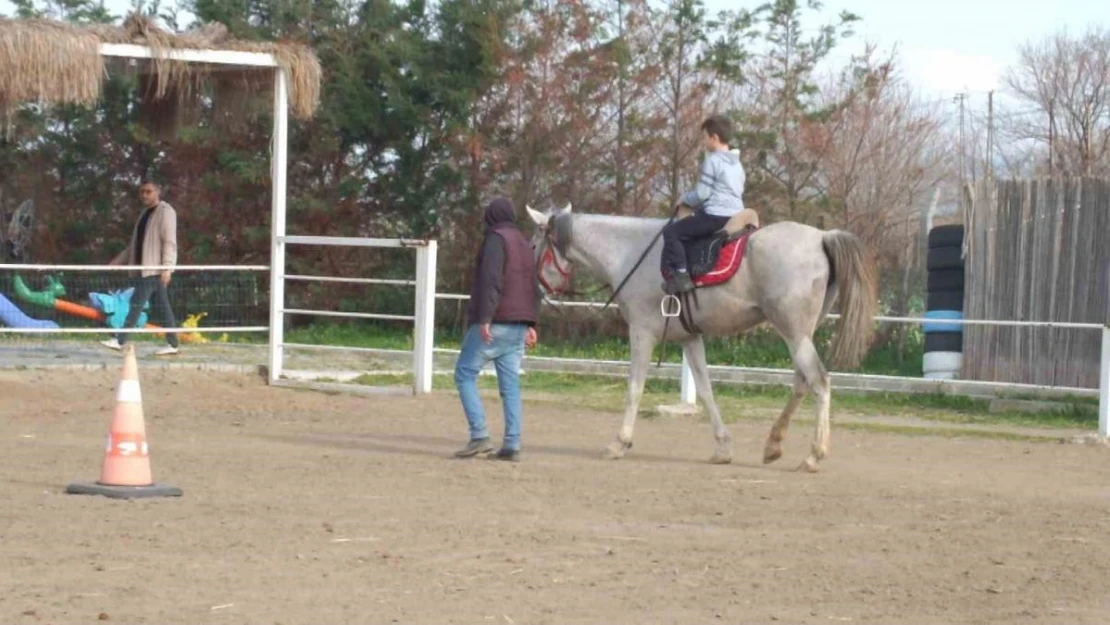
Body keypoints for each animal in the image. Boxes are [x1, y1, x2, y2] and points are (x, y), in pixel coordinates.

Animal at [523, 205, 879, 475]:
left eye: (533, 245)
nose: (537, 290)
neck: (629, 251)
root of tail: (822, 237)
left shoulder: (642, 332)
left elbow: (635, 388)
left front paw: (619, 443)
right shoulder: (689, 338)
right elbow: (706, 390)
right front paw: (722, 448)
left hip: (793, 332)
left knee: (819, 381)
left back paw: (813, 455)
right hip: (802, 332)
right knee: (802, 382)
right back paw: (773, 444)